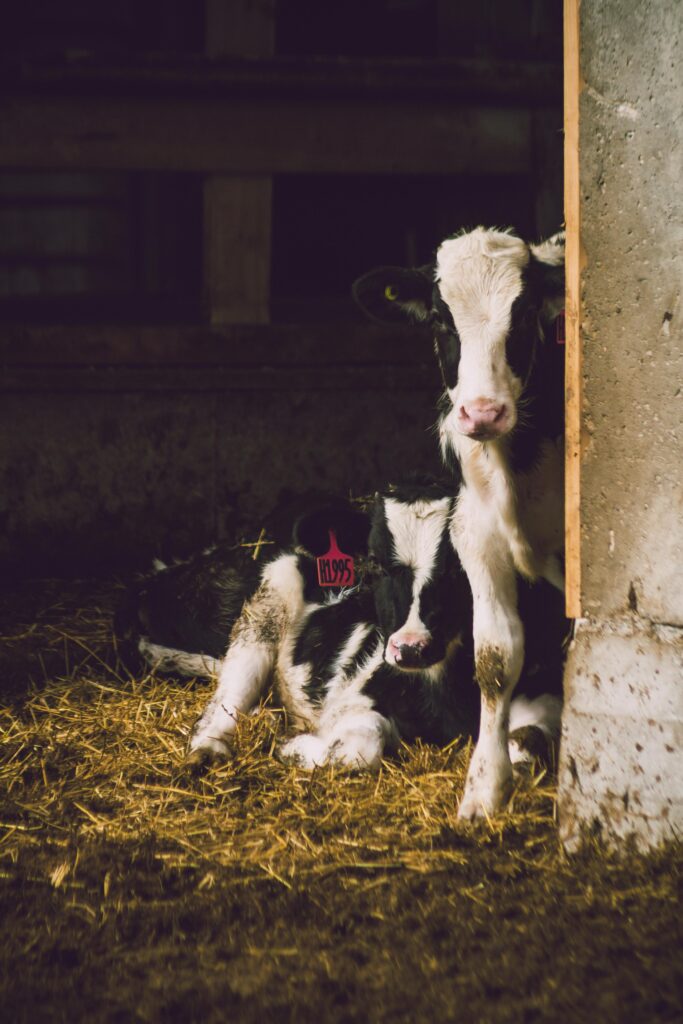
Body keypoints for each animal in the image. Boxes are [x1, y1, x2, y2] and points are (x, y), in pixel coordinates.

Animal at [120, 478, 565, 788]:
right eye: (376, 564)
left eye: (461, 568)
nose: (410, 649)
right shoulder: (351, 693)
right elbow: (356, 750)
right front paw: (295, 748)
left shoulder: (542, 686)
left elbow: (530, 743)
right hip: (266, 603)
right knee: (225, 699)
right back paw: (211, 748)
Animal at [352, 228, 566, 817]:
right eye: (440, 320)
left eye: (527, 312)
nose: (483, 412)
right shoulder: (477, 535)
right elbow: (495, 658)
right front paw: (484, 790)